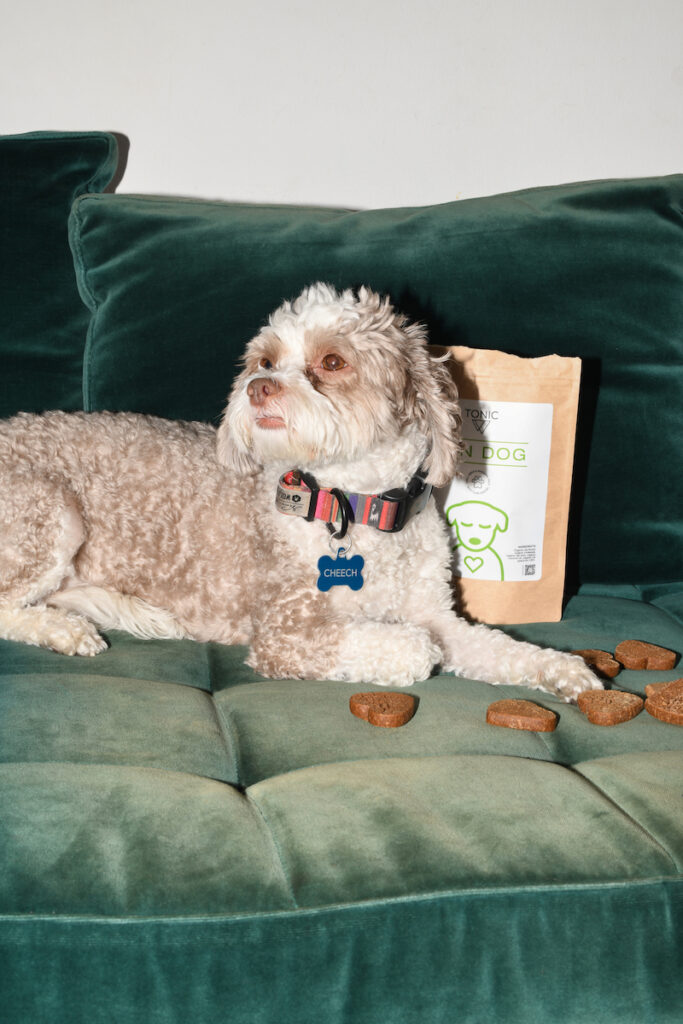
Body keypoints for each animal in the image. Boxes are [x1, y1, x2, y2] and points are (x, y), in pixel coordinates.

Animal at [0, 284, 602, 700]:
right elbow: (415, 646)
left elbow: (493, 646)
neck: (355, 504)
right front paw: (417, 653)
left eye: (332, 362)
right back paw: (64, 629)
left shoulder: (435, 613)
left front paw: (562, 668)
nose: (256, 387)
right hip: (49, 513)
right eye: (265, 361)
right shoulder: (288, 632)